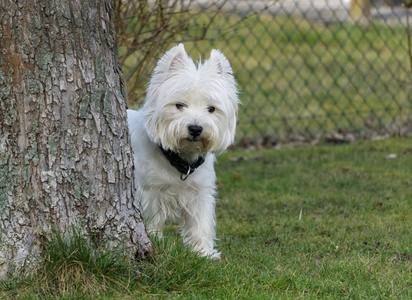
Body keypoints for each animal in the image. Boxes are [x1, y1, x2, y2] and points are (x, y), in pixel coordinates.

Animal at [127, 44, 240, 258]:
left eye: (211, 109)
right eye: (179, 105)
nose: (195, 129)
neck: (179, 160)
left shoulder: (199, 192)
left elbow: (200, 223)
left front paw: (203, 253)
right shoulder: (149, 193)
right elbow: (152, 221)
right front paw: (154, 241)